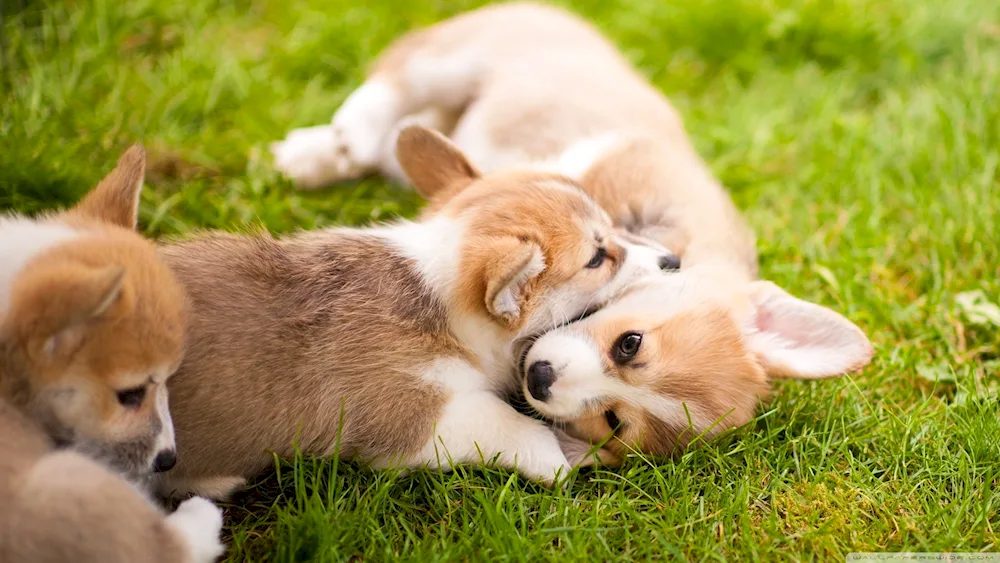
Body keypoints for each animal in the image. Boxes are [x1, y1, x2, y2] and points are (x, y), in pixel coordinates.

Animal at [156, 125, 672, 500]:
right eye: (596, 258)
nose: (672, 261)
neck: (441, 306)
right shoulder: (413, 421)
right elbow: (499, 419)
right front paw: (553, 456)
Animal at [270, 2, 872, 462]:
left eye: (613, 421)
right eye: (630, 344)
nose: (540, 381)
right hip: (464, 57)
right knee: (396, 83)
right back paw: (335, 141)